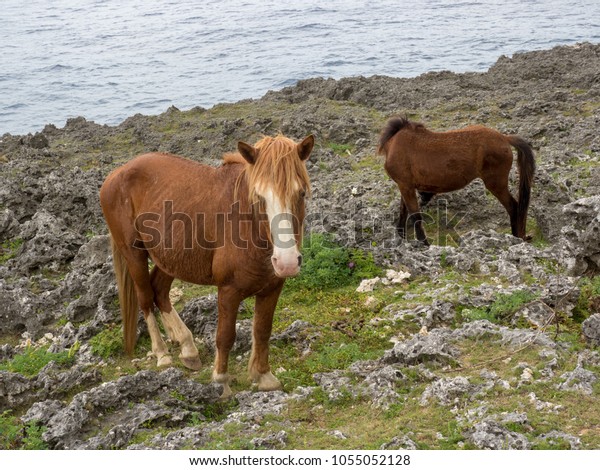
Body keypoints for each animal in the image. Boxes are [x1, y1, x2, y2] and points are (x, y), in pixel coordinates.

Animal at [99, 133, 314, 396]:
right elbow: (225, 336)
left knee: (159, 291)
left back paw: (187, 347)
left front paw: (264, 376)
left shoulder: (272, 288)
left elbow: (262, 331)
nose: (287, 262)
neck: (249, 225)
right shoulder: (228, 291)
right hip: (134, 254)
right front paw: (221, 381)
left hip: (172, 258)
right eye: (259, 197)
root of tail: (115, 174)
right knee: (146, 297)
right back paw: (162, 353)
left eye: (301, 193)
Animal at [378, 117, 536, 244]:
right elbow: (403, 212)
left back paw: (516, 238)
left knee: (513, 207)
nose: (424, 196)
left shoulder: (406, 186)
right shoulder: (405, 186)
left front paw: (424, 244)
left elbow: (415, 216)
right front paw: (401, 237)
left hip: (496, 184)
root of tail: (504, 138)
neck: (395, 145)